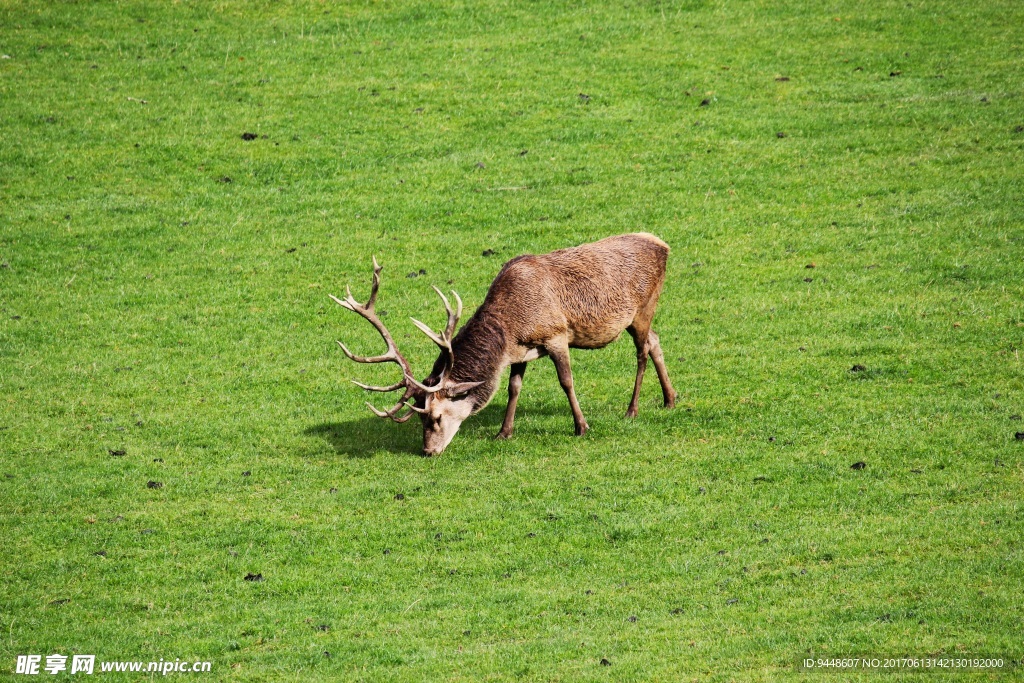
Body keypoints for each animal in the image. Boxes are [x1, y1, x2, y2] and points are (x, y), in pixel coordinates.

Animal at [331, 232, 675, 456]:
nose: (428, 452)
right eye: (418, 417)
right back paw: (670, 399)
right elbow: (513, 387)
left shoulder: (557, 335)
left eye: (435, 417)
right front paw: (503, 432)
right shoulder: (520, 351)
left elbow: (566, 381)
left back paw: (632, 409)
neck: (511, 325)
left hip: (644, 308)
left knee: (642, 352)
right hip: (639, 318)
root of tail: (664, 245)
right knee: (656, 341)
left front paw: (581, 427)